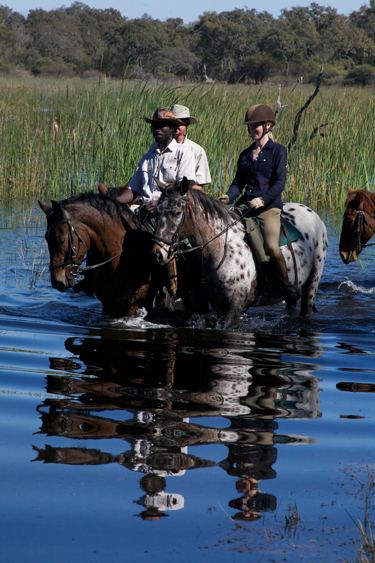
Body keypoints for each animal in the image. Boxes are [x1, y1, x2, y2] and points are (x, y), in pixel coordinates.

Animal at [151, 178, 328, 328]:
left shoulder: (234, 308)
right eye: (156, 212)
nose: (157, 254)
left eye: (177, 213)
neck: (221, 247)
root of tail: (310, 212)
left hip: (313, 280)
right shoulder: (219, 305)